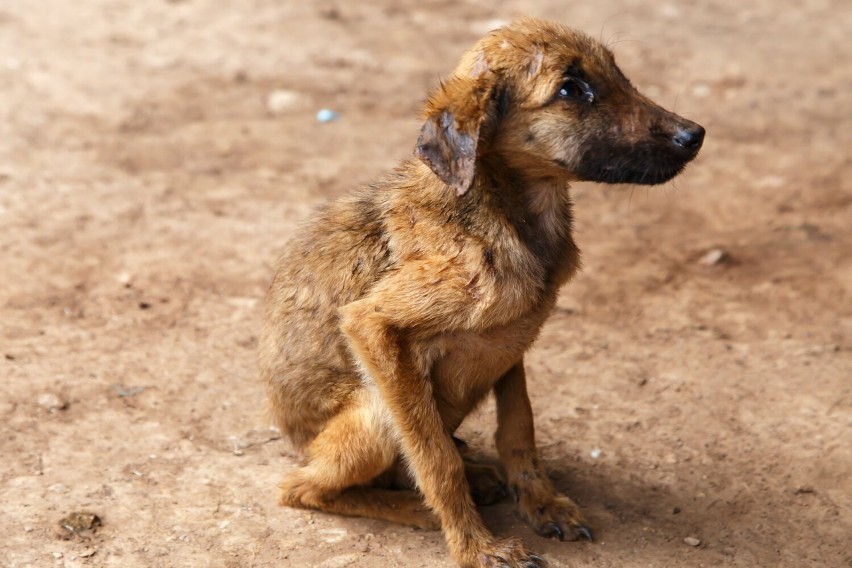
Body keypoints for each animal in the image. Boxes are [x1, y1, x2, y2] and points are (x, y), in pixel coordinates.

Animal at [260, 16, 704, 568]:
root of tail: (295, 440)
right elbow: (435, 460)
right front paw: (474, 546)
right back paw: (417, 509)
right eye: (571, 89)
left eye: (618, 74)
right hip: (375, 409)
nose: (696, 135)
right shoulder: (372, 324)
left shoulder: (513, 342)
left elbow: (518, 427)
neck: (504, 209)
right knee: (302, 488)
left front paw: (541, 501)